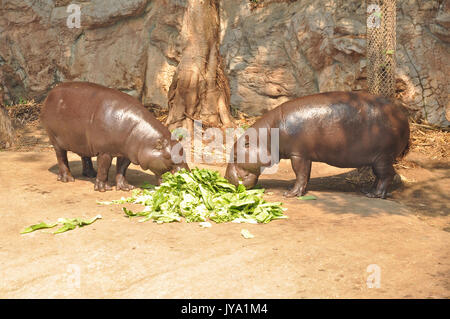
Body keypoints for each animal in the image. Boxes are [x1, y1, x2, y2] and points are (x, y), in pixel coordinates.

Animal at [41, 82, 189, 192]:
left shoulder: (126, 153)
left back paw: (90, 174)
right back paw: (67, 178)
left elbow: (122, 169)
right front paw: (103, 188)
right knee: (61, 158)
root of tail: (51, 93)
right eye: (169, 156)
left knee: (85, 156)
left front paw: (126, 187)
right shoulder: (105, 151)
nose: (188, 174)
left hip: (82, 140)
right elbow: (104, 168)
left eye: (183, 151)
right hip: (56, 140)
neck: (142, 137)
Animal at [227, 91, 410, 199]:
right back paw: (367, 191)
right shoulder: (305, 155)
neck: (266, 136)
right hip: (378, 159)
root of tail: (403, 116)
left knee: (387, 175)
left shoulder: (298, 154)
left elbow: (300, 174)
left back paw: (375, 195)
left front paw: (289, 194)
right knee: (379, 176)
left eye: (235, 155)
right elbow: (305, 175)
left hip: (383, 157)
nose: (226, 177)